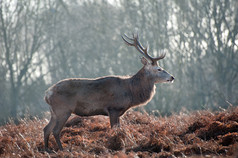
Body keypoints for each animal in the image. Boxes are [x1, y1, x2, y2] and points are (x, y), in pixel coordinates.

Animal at [43, 33, 175, 152]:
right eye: (159, 69)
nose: (172, 77)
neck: (131, 92)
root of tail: (47, 94)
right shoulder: (113, 108)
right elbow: (114, 130)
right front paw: (115, 146)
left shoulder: (118, 111)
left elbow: (119, 130)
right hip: (63, 109)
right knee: (55, 130)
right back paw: (62, 149)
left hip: (54, 112)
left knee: (46, 129)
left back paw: (46, 149)